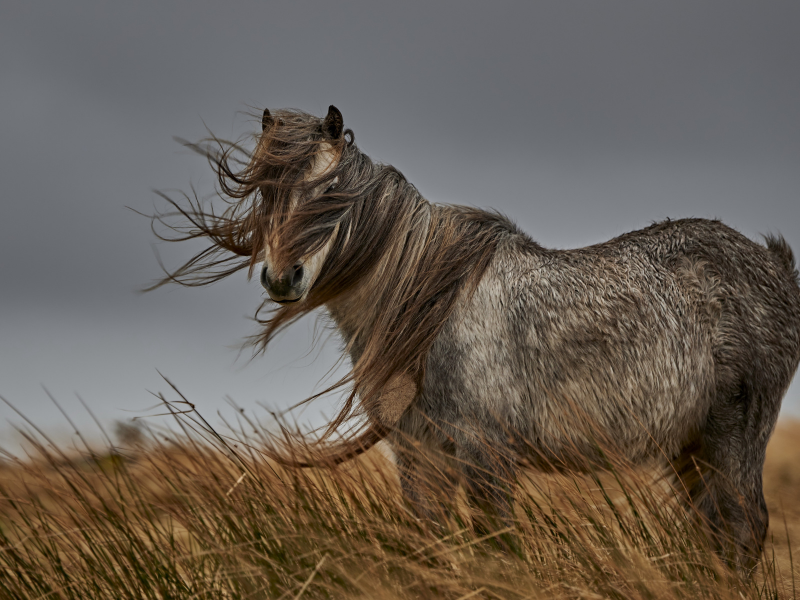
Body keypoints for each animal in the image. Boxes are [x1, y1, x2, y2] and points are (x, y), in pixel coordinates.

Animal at [155, 105, 800, 576]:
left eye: (333, 192)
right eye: (269, 192)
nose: (282, 278)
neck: (429, 308)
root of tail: (773, 264)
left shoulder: (485, 451)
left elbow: (498, 548)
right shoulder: (418, 452)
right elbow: (433, 541)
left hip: (731, 438)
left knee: (743, 529)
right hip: (691, 446)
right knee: (714, 534)